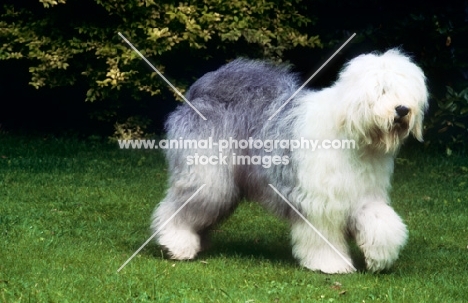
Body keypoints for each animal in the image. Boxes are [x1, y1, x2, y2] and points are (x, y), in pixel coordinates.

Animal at [152, 50, 430, 276]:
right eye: (381, 90)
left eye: (406, 91)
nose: (402, 109)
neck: (353, 134)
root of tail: (202, 87)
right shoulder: (320, 202)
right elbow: (323, 236)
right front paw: (331, 265)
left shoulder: (363, 194)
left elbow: (382, 222)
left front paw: (379, 258)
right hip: (209, 178)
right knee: (178, 206)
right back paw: (176, 243)